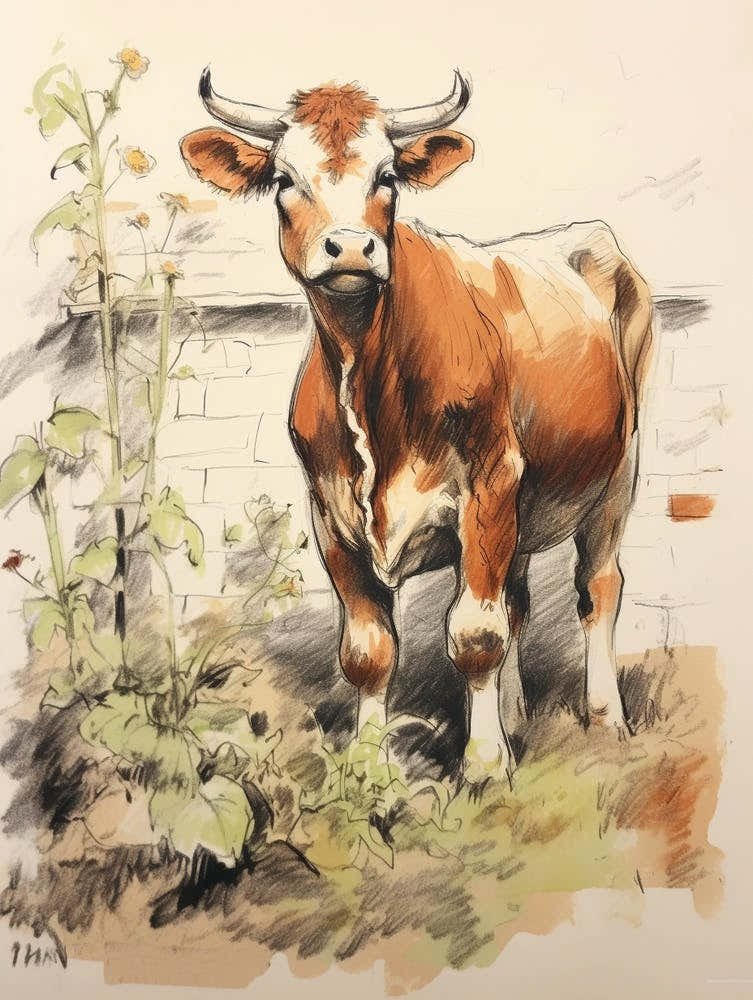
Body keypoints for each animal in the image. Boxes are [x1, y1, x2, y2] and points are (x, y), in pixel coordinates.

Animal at [180, 70, 654, 783]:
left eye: (388, 177)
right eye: (285, 179)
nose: (351, 246)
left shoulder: (490, 481)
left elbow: (475, 634)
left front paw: (483, 765)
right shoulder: (332, 513)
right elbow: (369, 651)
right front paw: (369, 769)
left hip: (616, 469)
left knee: (597, 589)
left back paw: (604, 721)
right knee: (517, 600)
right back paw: (515, 718)